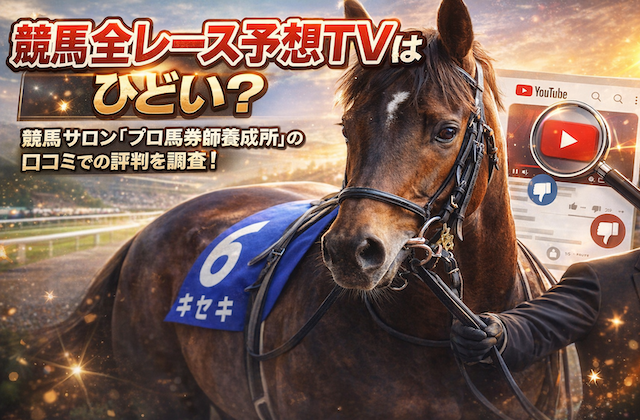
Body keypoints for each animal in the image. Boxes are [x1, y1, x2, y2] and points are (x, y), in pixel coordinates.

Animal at [22, 0, 567, 419]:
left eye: (446, 130)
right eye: (348, 127)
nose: (352, 251)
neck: (441, 343)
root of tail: (143, 234)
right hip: (163, 393)